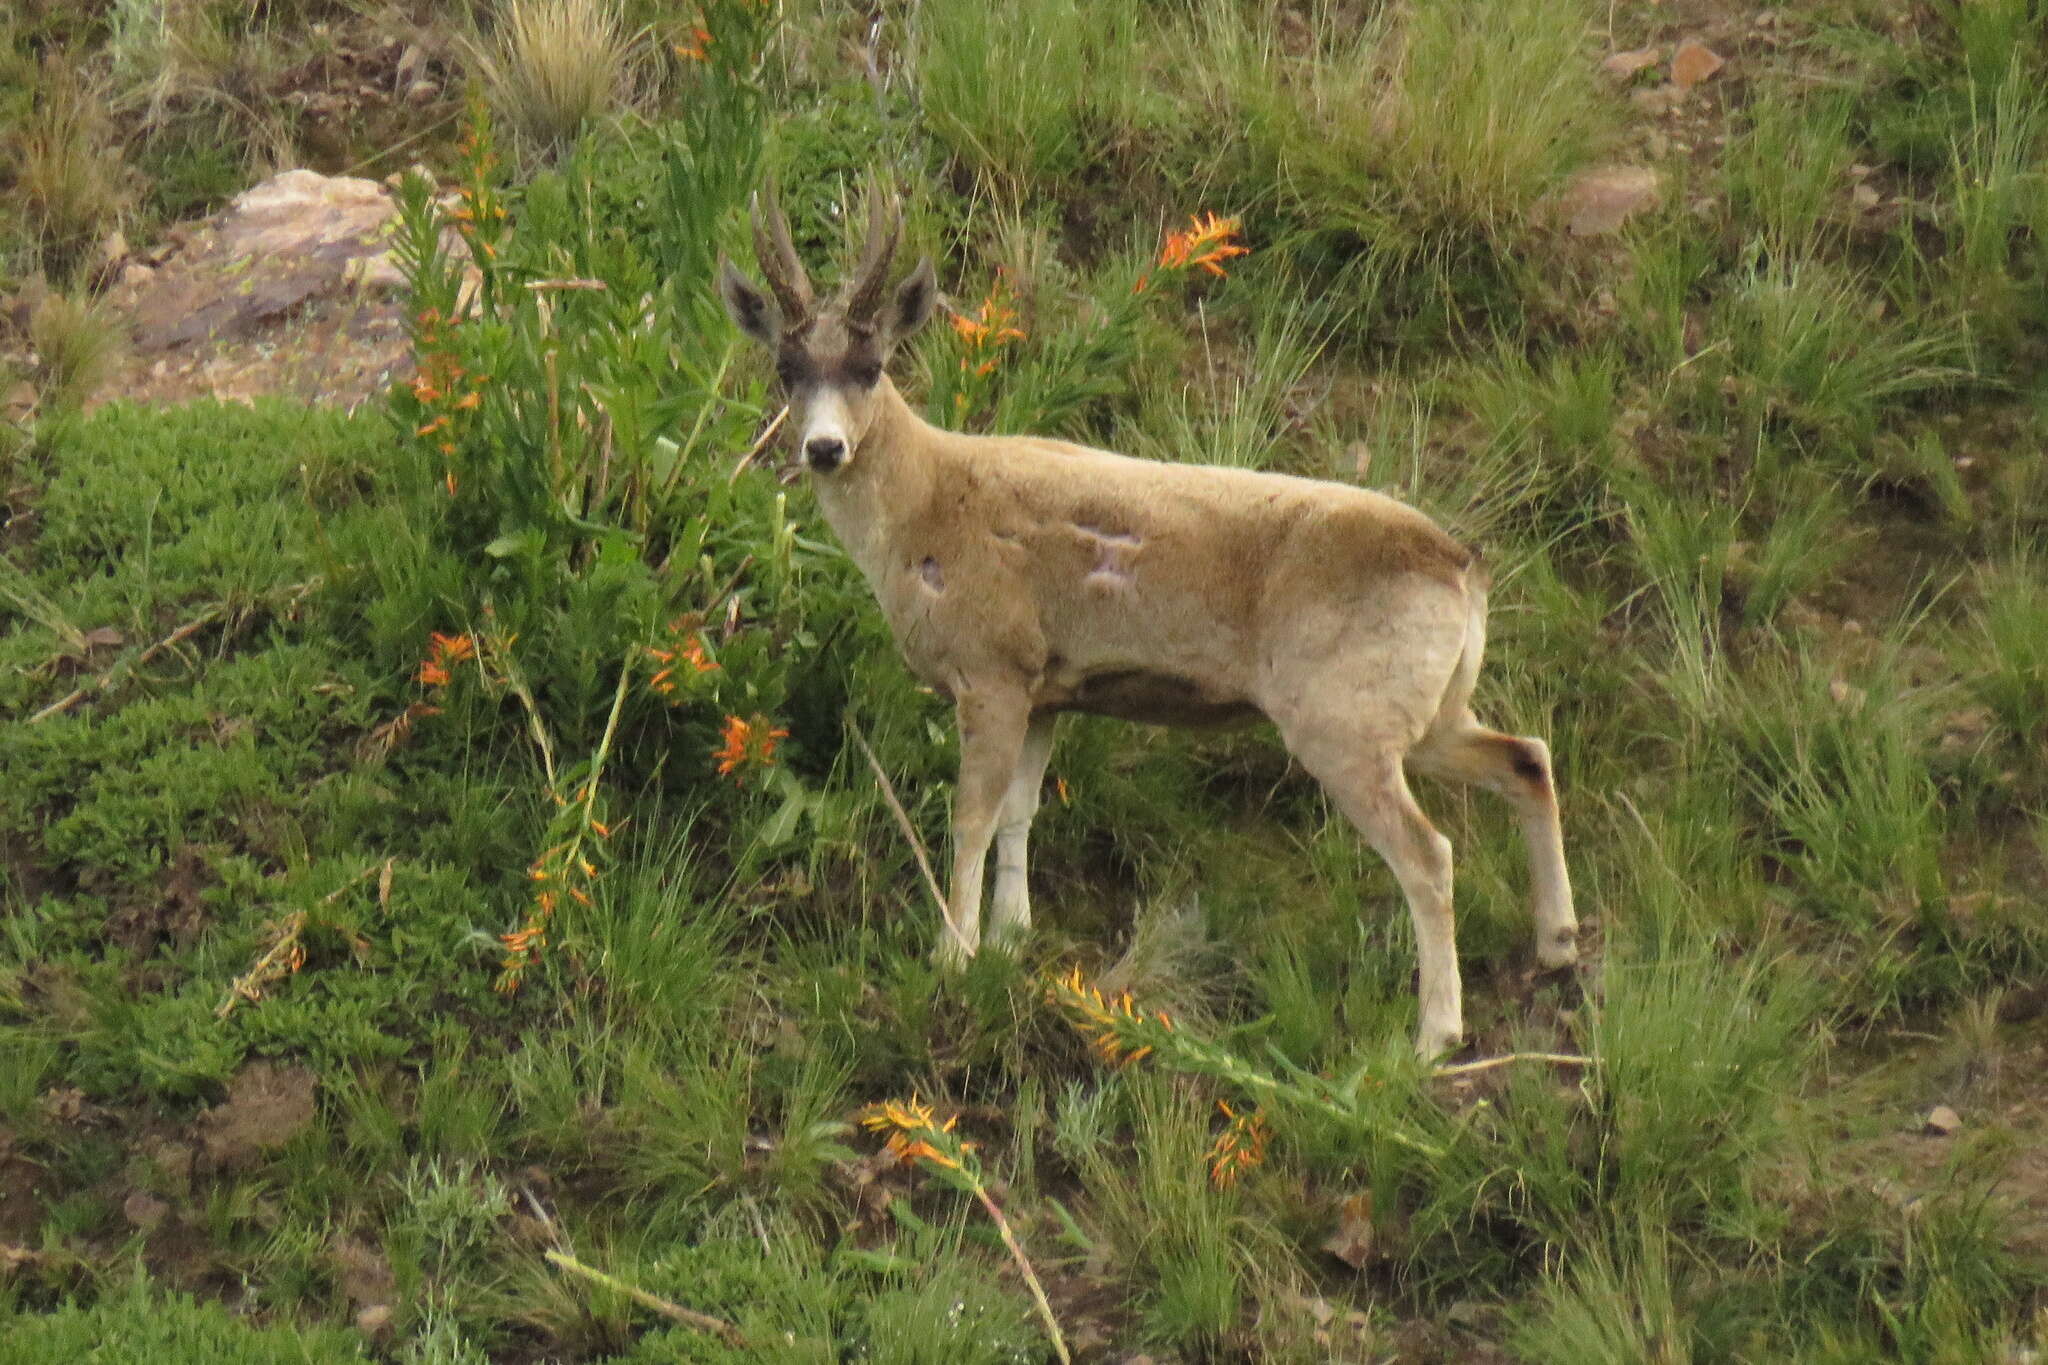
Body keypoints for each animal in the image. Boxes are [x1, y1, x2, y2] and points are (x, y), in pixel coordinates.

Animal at [720, 184, 1581, 1055]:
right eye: (787, 368)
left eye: (871, 366)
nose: (824, 448)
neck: (922, 514)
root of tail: (1460, 564)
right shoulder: (1047, 686)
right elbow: (1020, 810)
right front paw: (1010, 940)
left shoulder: (992, 661)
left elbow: (971, 813)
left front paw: (952, 956)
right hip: (1428, 707)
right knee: (1527, 755)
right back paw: (1558, 944)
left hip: (1345, 714)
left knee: (1430, 851)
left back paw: (1434, 1034)